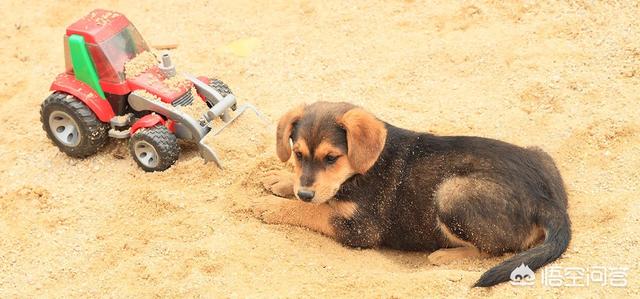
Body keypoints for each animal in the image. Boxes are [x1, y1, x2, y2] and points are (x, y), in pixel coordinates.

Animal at [258, 102, 572, 288]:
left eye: (332, 158)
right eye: (298, 154)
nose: (304, 192)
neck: (363, 168)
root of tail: (548, 202)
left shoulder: (360, 229)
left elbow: (314, 210)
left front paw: (270, 206)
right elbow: (315, 200)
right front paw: (282, 180)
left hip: (450, 193)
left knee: (494, 249)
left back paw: (446, 255)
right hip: (540, 154)